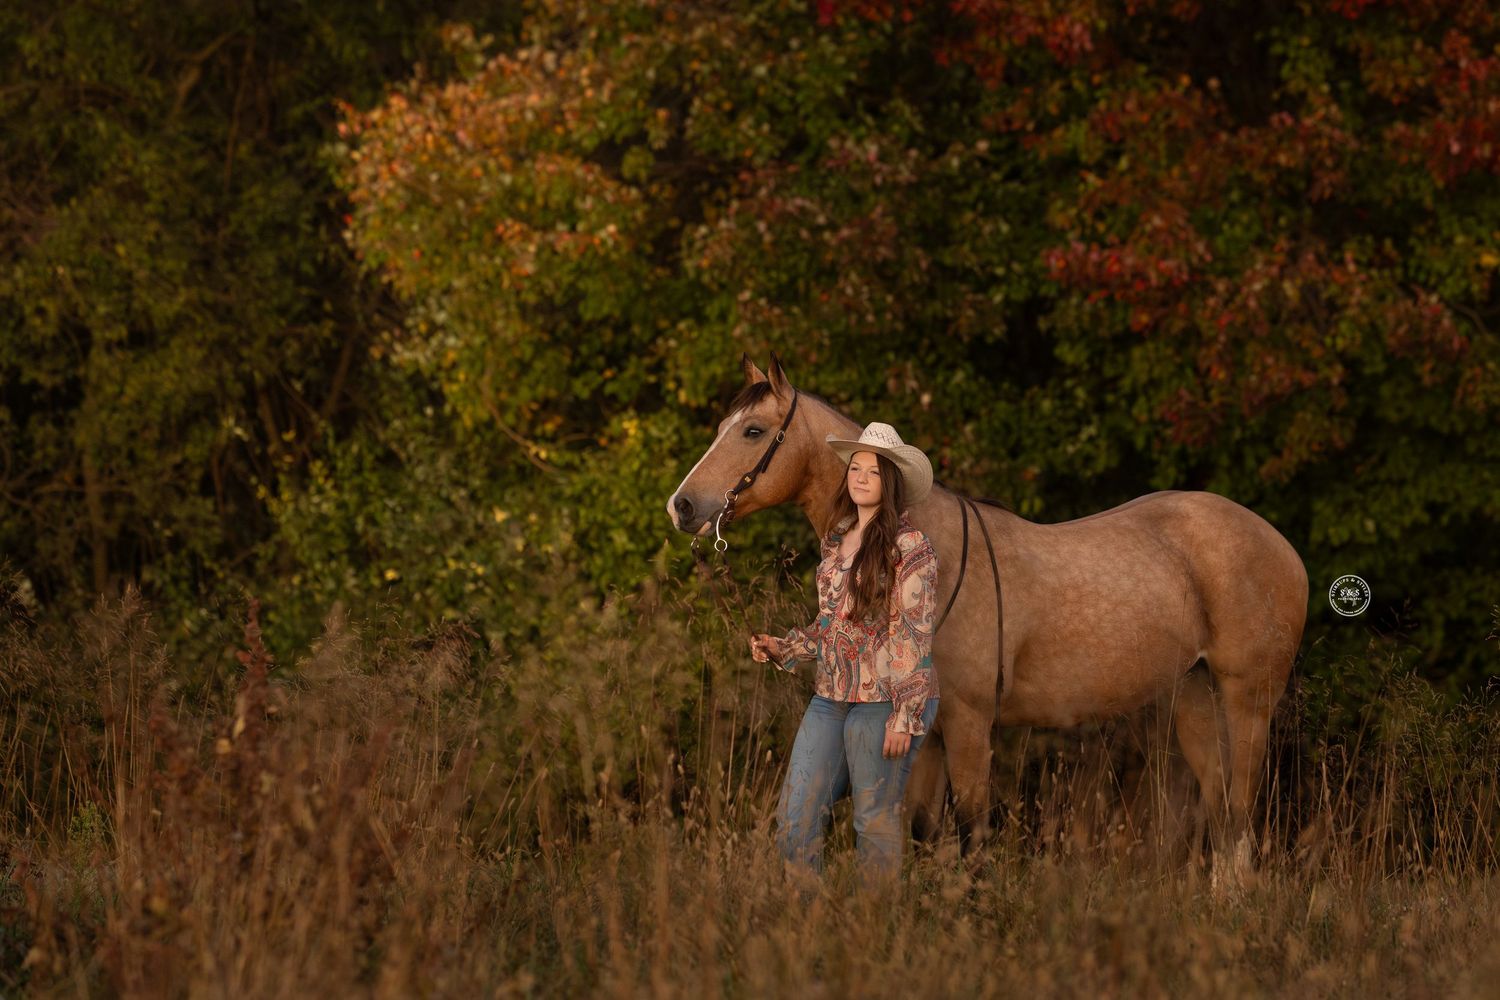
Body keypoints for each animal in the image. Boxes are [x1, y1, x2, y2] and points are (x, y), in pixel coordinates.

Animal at [667, 353, 1309, 879]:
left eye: (753, 431)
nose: (683, 506)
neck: (933, 551)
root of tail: (1284, 548)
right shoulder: (922, 736)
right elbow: (922, 832)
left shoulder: (970, 723)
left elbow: (972, 833)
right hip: (1194, 695)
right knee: (1223, 812)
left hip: (1248, 701)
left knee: (1241, 813)